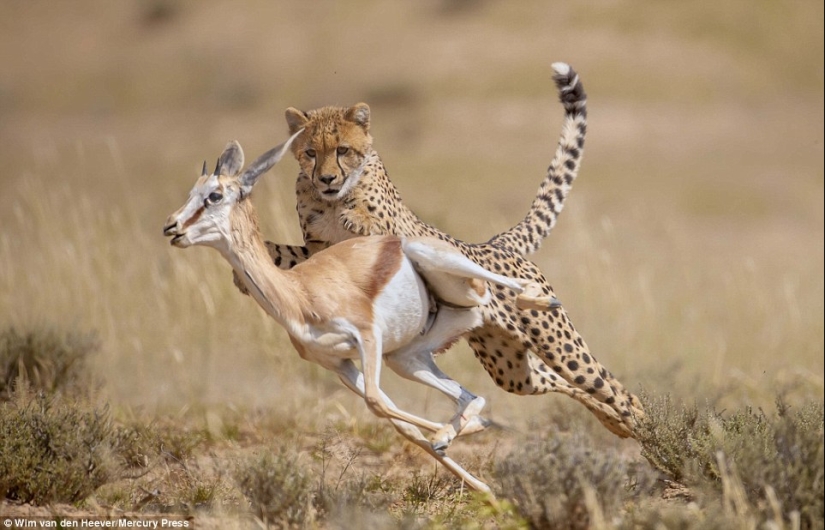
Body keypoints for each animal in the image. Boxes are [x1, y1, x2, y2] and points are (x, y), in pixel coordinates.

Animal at [251, 62, 644, 436]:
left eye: (342, 150)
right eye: (310, 153)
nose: (327, 178)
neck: (332, 200)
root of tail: (495, 243)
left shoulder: (398, 234)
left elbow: (376, 228)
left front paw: (356, 217)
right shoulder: (316, 251)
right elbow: (287, 256)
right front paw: (254, 246)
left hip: (558, 344)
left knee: (611, 386)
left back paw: (644, 427)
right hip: (509, 367)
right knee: (557, 381)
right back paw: (617, 424)